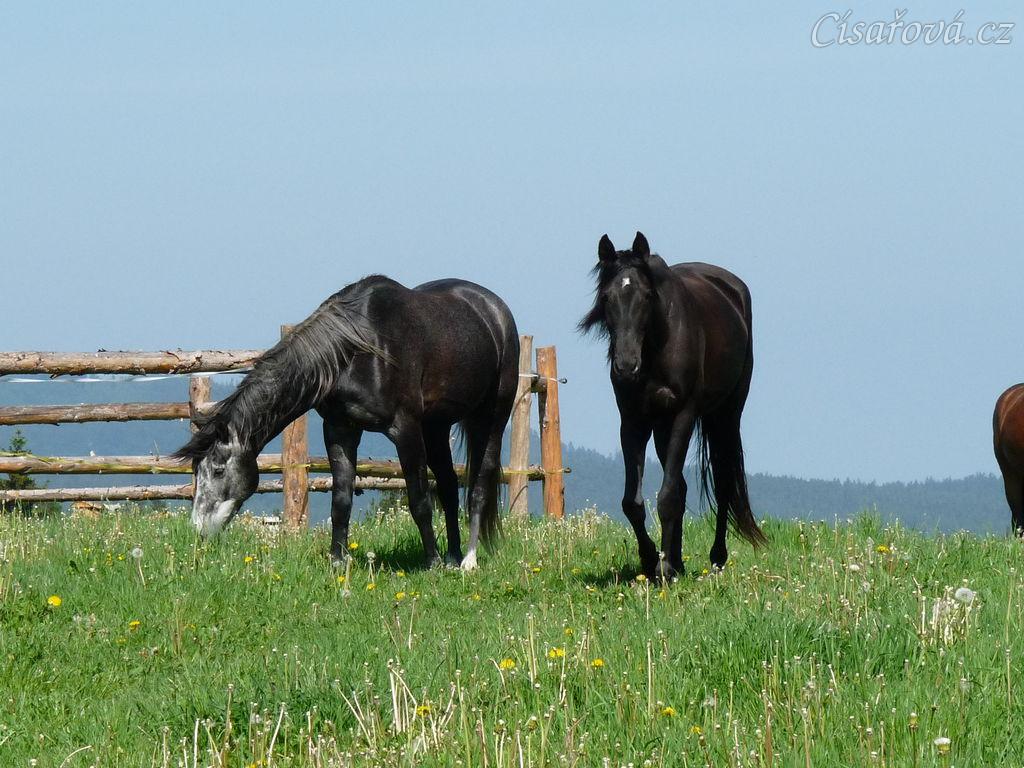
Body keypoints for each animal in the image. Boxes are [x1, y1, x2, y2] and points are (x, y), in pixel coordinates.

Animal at [173, 275, 520, 570]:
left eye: (218, 470)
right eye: (196, 472)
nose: (198, 530)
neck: (358, 350)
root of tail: (493, 307)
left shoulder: (404, 430)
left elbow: (419, 499)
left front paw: (431, 562)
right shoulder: (340, 430)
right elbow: (341, 499)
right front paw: (338, 562)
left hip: (492, 416)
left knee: (479, 485)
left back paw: (468, 561)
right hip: (436, 427)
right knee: (448, 487)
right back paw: (452, 556)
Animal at [580, 232, 766, 581]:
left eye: (647, 296)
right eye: (607, 297)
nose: (627, 366)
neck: (656, 348)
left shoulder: (684, 414)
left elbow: (667, 496)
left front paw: (663, 567)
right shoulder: (633, 421)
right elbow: (634, 501)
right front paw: (652, 559)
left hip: (726, 414)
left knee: (722, 482)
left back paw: (716, 558)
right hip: (662, 426)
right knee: (680, 483)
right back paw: (677, 560)